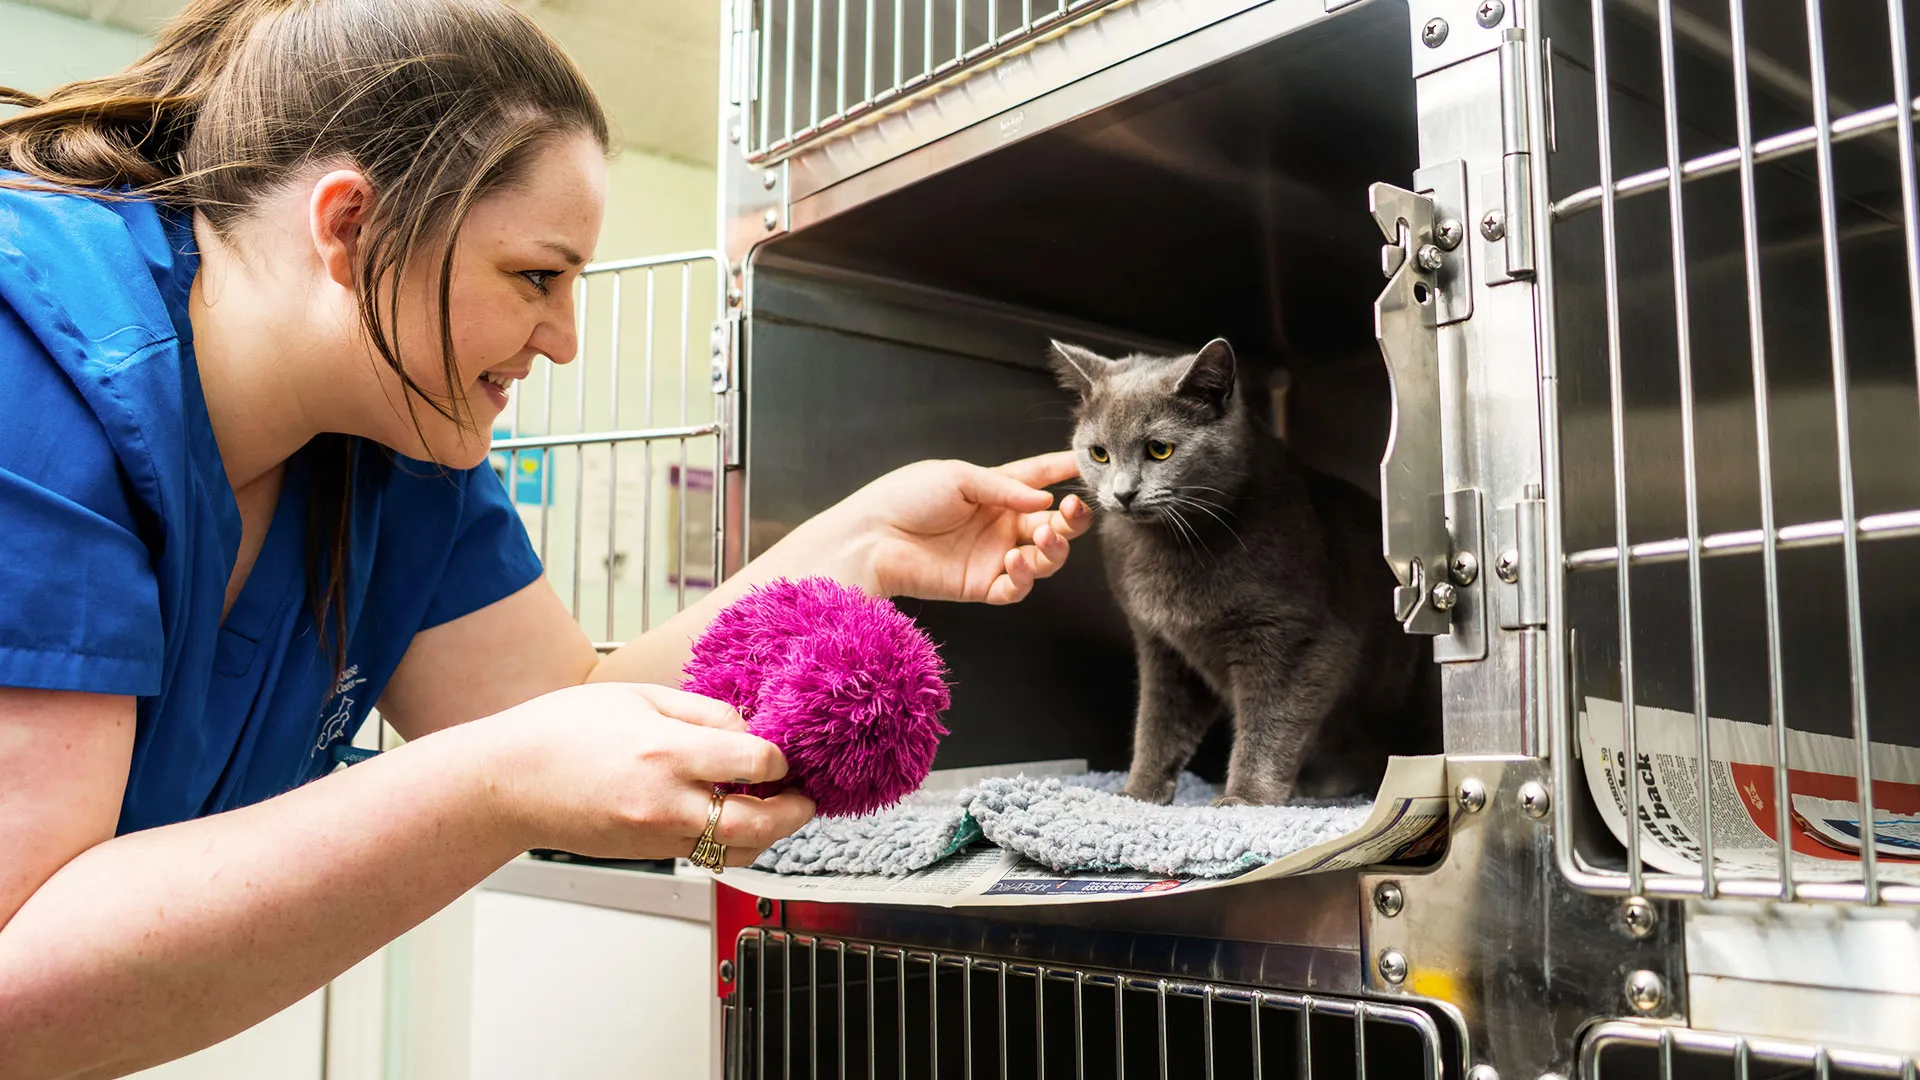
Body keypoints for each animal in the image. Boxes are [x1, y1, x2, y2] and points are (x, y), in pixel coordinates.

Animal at [1052, 336, 1443, 799]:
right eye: (1099, 453)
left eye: (1159, 449)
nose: (1123, 493)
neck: (1171, 546)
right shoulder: (1162, 646)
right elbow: (1157, 723)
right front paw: (1138, 793)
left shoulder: (1301, 636)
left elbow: (1272, 720)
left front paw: (1244, 797)